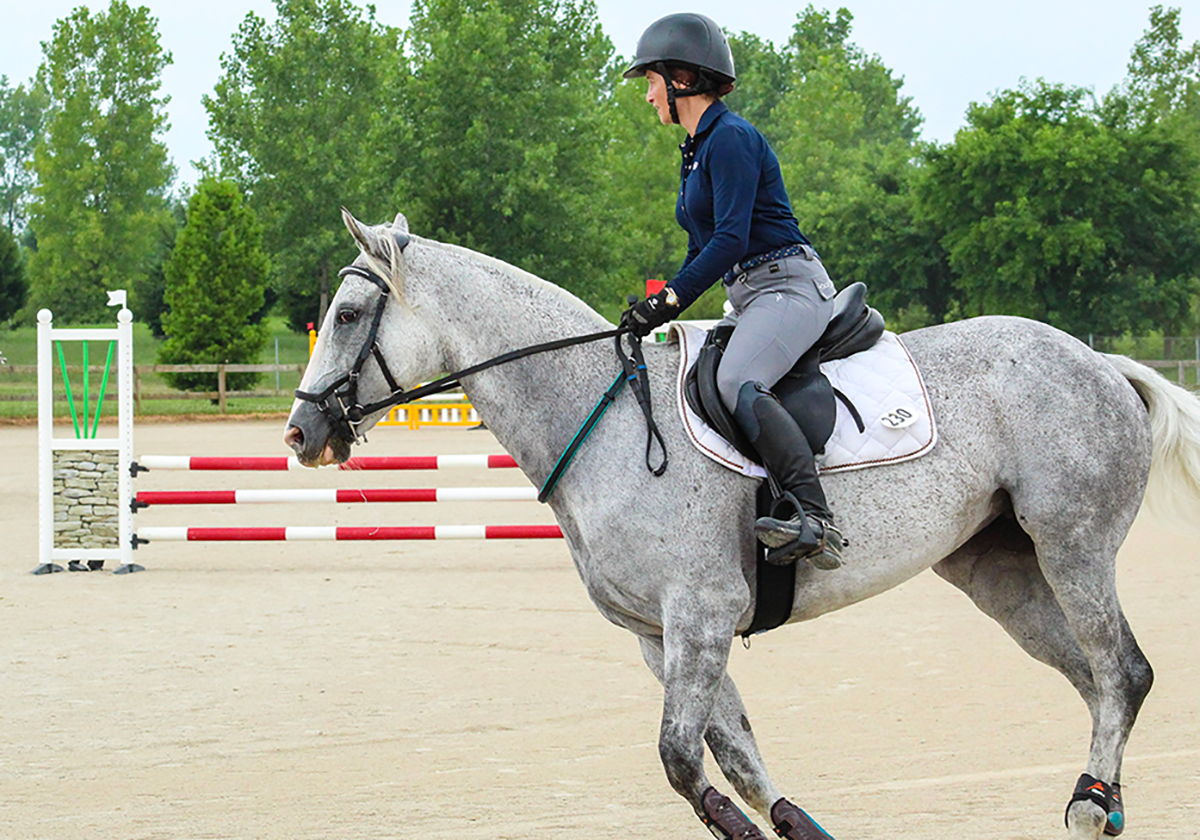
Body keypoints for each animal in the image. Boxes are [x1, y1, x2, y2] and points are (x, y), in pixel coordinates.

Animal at [283, 211, 1200, 840]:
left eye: (348, 316)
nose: (300, 434)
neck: (600, 416)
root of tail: (1099, 361)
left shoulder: (702, 614)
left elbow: (683, 760)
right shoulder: (661, 635)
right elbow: (739, 760)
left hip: (1072, 546)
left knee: (1123, 673)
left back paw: (1089, 807)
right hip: (999, 571)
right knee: (1094, 681)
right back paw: (1103, 803)